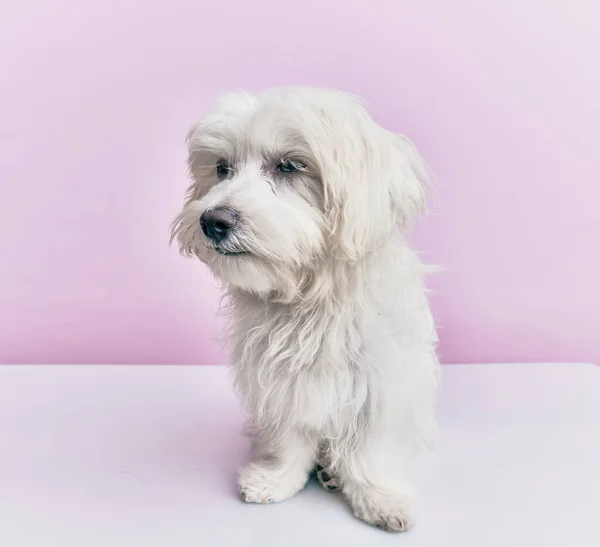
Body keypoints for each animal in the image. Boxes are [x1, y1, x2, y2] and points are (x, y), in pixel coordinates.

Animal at [171, 88, 438, 532]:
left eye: (290, 165)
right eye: (223, 168)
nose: (213, 220)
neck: (308, 298)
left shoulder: (379, 381)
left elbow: (369, 447)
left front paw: (378, 495)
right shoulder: (279, 381)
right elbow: (289, 437)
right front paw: (276, 478)